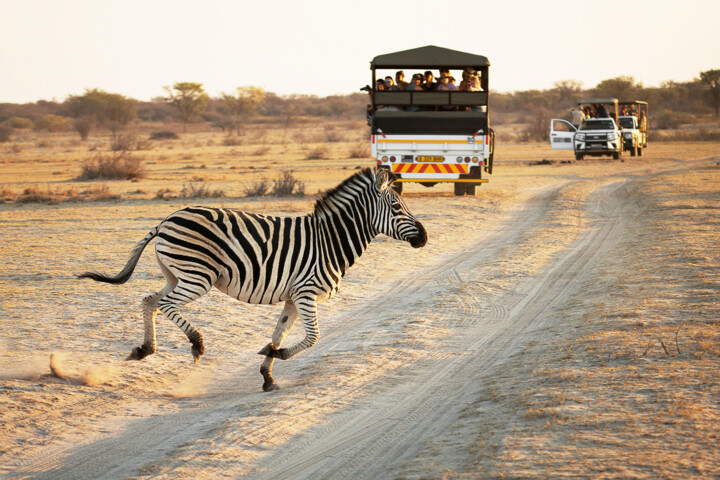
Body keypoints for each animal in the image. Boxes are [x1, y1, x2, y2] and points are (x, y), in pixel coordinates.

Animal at [79, 167, 428, 392]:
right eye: (396, 205)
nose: (424, 237)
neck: (330, 241)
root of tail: (166, 220)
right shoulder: (306, 292)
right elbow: (313, 337)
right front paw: (276, 358)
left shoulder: (293, 297)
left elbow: (279, 333)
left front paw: (268, 373)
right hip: (198, 276)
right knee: (165, 304)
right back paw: (196, 344)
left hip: (175, 274)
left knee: (149, 300)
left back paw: (144, 349)